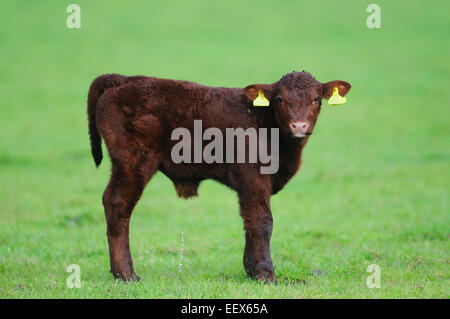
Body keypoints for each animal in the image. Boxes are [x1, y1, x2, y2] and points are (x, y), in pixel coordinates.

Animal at [87, 72, 352, 282]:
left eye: (316, 98)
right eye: (279, 99)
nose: (299, 125)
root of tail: (126, 79)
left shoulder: (249, 186)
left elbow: (249, 220)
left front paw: (251, 271)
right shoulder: (253, 178)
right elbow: (262, 221)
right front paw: (266, 274)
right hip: (133, 163)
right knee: (117, 205)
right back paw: (126, 274)